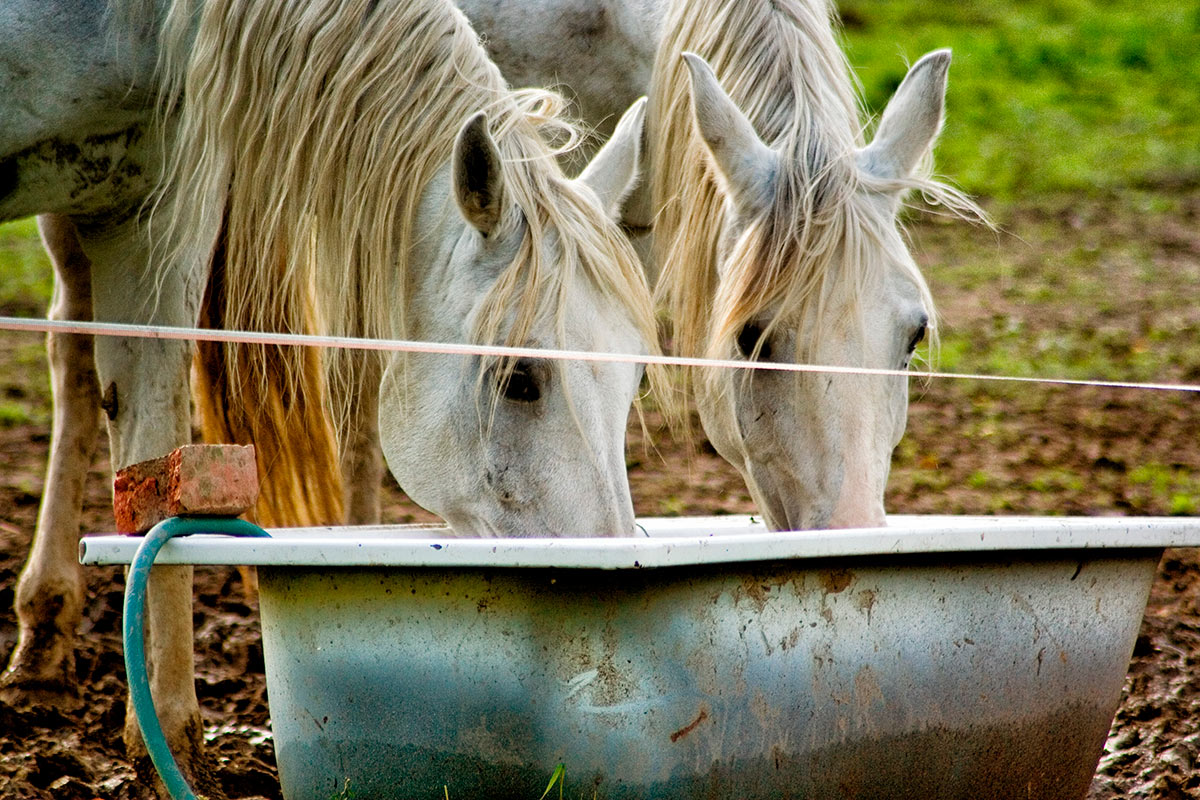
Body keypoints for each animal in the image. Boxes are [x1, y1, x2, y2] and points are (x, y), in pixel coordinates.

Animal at [2, 0, 657, 791]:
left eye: (636, 380)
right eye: (519, 379)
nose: (612, 580)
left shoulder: (148, 207)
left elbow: (155, 462)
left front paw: (168, 748)